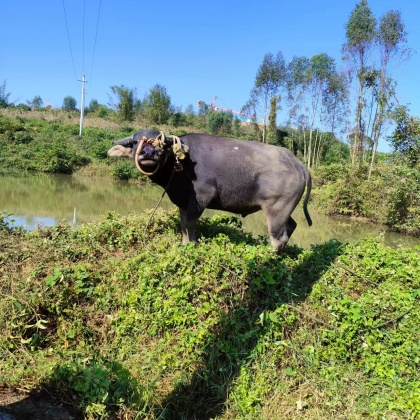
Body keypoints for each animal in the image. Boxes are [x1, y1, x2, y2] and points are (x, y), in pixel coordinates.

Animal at [108, 130, 312, 251]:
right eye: (135, 142)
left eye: (162, 143)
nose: (148, 154)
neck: (180, 166)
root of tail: (298, 164)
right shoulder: (183, 202)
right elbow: (183, 225)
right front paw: (184, 244)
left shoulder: (201, 198)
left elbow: (190, 225)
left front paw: (191, 245)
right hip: (284, 210)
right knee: (291, 226)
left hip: (276, 209)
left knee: (278, 236)